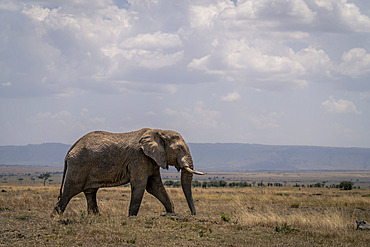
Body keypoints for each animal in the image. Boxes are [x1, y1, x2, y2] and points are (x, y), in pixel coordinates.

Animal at [51, 127, 205, 216]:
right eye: (179, 149)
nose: (193, 215)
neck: (159, 130)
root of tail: (70, 150)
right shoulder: (139, 157)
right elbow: (141, 185)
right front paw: (132, 217)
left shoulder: (152, 159)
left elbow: (154, 186)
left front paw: (170, 214)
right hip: (78, 165)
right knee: (70, 190)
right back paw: (55, 218)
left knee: (90, 192)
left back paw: (95, 217)